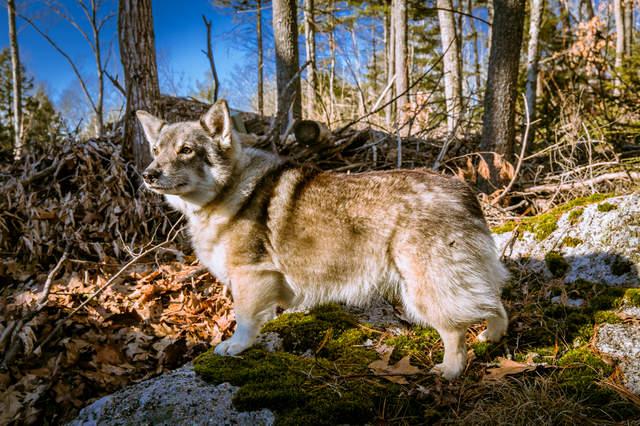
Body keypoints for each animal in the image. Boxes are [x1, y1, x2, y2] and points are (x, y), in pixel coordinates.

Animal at [138, 100, 508, 380]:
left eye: (186, 151)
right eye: (156, 150)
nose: (148, 174)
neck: (226, 190)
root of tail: (462, 191)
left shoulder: (250, 276)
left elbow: (244, 319)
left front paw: (236, 346)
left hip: (424, 287)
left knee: (455, 330)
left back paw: (450, 370)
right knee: (495, 303)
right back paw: (492, 336)